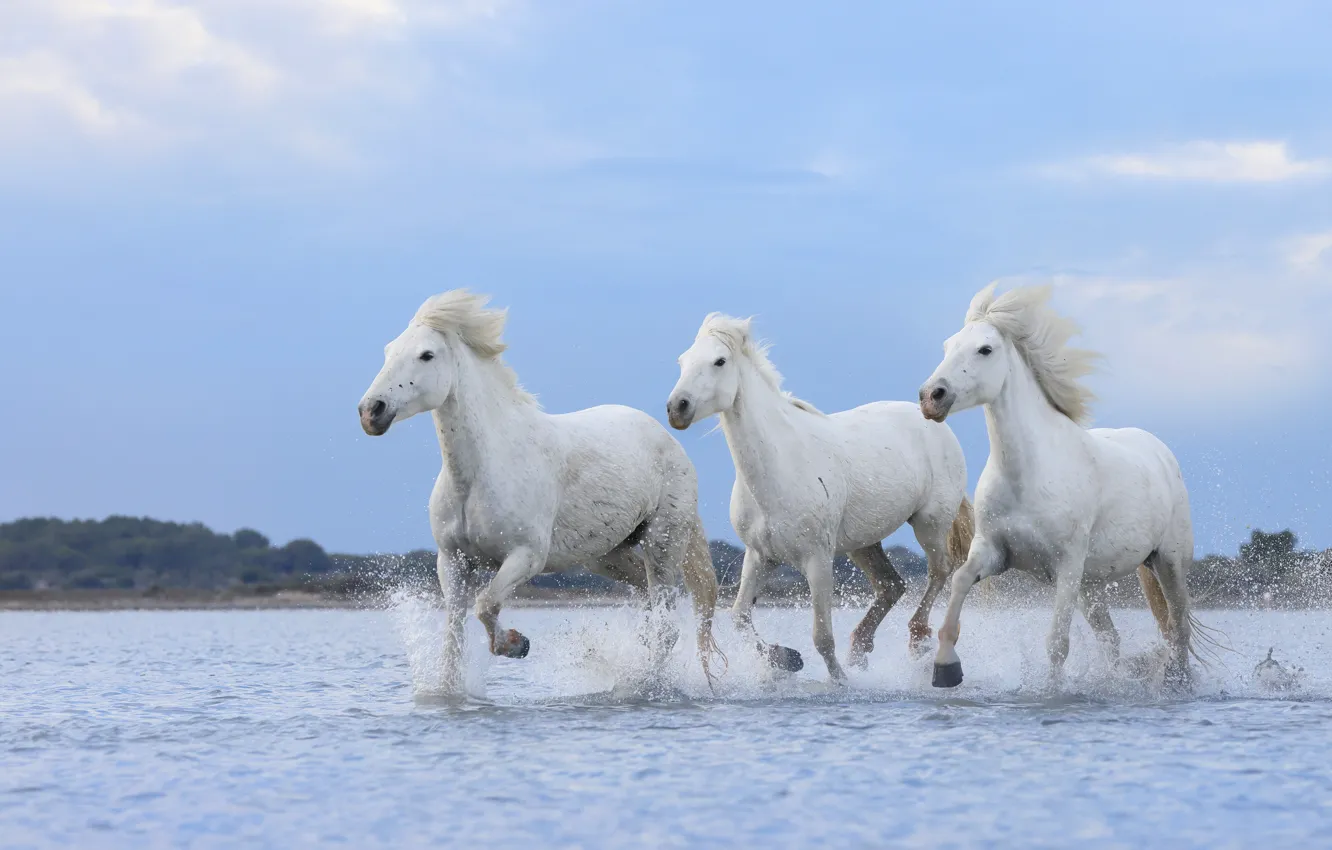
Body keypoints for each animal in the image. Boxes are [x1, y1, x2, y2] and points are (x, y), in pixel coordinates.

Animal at [357, 290, 722, 690]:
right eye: (389, 350)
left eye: (426, 355)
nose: (371, 411)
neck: (480, 473)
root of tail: (670, 440)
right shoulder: (452, 561)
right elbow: (453, 639)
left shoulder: (526, 556)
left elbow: (485, 604)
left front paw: (516, 644)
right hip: (605, 553)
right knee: (644, 597)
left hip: (663, 545)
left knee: (666, 627)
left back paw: (645, 684)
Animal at [666, 313, 973, 682]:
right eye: (682, 360)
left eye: (719, 361)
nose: (677, 408)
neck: (780, 467)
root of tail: (932, 418)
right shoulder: (760, 555)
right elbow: (739, 617)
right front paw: (785, 658)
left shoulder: (818, 559)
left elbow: (822, 636)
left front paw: (839, 680)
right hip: (862, 543)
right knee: (892, 585)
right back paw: (860, 649)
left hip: (929, 524)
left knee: (940, 571)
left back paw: (919, 642)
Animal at [918, 283, 1200, 689]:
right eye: (947, 346)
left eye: (985, 349)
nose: (931, 397)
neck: (1027, 475)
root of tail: (1160, 452)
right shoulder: (993, 551)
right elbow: (959, 583)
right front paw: (945, 667)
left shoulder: (1066, 566)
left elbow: (1056, 644)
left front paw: (1051, 691)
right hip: (1092, 583)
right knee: (1112, 639)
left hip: (1169, 563)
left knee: (1178, 630)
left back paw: (1176, 683)